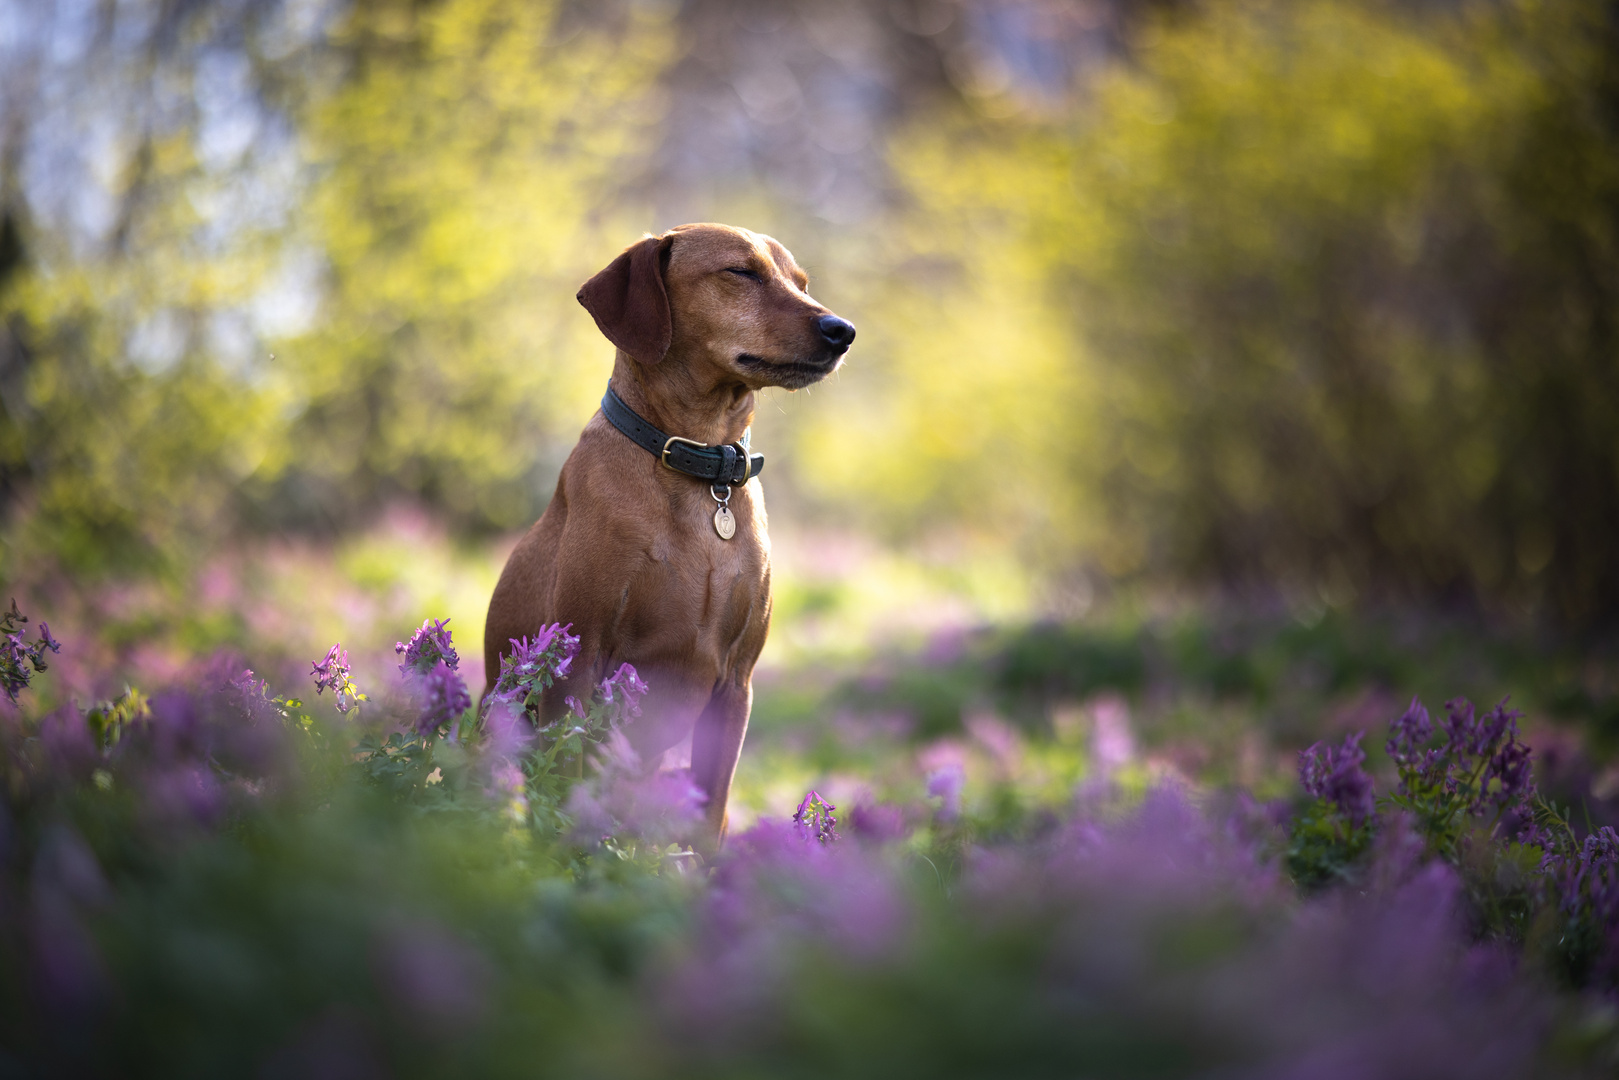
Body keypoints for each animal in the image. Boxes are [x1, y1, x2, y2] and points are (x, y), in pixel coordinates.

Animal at [482, 221, 854, 841]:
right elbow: (564, 785)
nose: (843, 331)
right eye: (741, 272)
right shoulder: (576, 664)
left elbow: (710, 813)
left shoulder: (736, 684)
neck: (701, 469)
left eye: (802, 283)